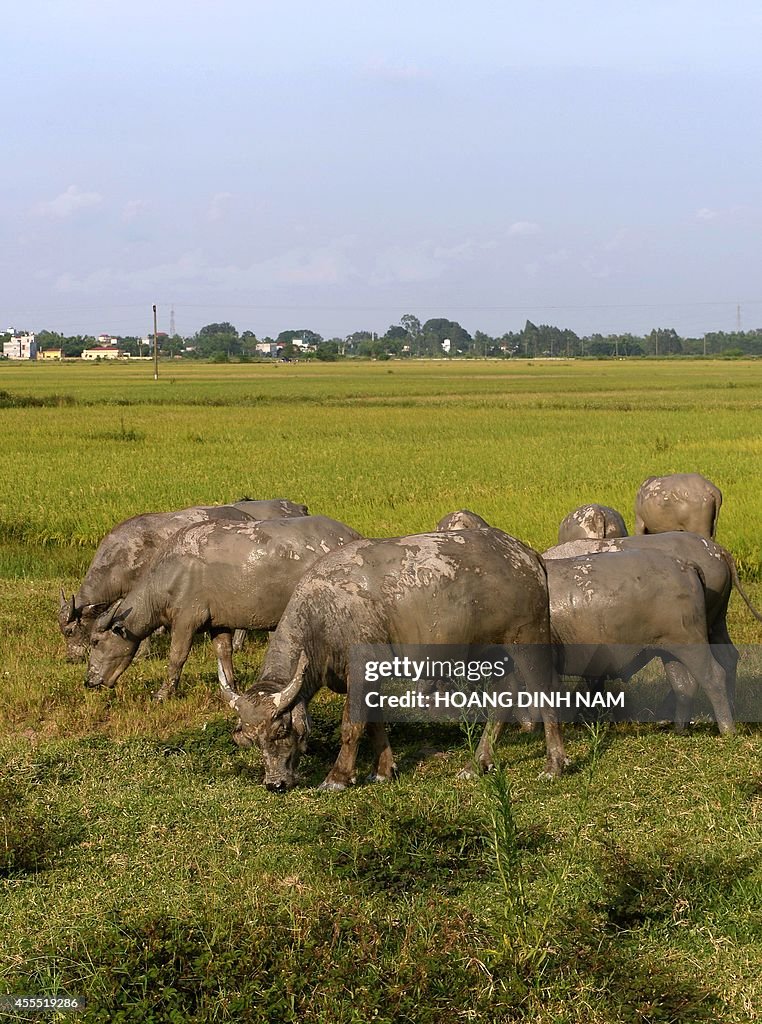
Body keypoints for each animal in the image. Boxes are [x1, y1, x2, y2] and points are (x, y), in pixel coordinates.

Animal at [85, 516, 360, 700]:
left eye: (96, 642)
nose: (89, 680)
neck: (170, 576)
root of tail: (351, 536)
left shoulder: (186, 620)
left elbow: (177, 656)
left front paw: (163, 693)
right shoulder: (218, 623)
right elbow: (223, 653)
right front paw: (230, 688)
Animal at [217, 528, 569, 790]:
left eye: (280, 731)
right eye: (251, 740)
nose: (275, 784)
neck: (324, 618)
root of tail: (527, 555)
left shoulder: (361, 669)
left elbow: (352, 724)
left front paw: (338, 777)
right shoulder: (368, 676)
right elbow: (374, 722)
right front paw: (384, 769)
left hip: (528, 638)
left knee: (543, 691)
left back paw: (554, 765)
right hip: (494, 653)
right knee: (503, 700)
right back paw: (476, 764)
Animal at [544, 552, 733, 737]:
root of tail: (685, 564)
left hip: (692, 644)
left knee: (714, 677)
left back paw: (727, 730)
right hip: (670, 651)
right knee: (684, 685)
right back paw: (679, 729)